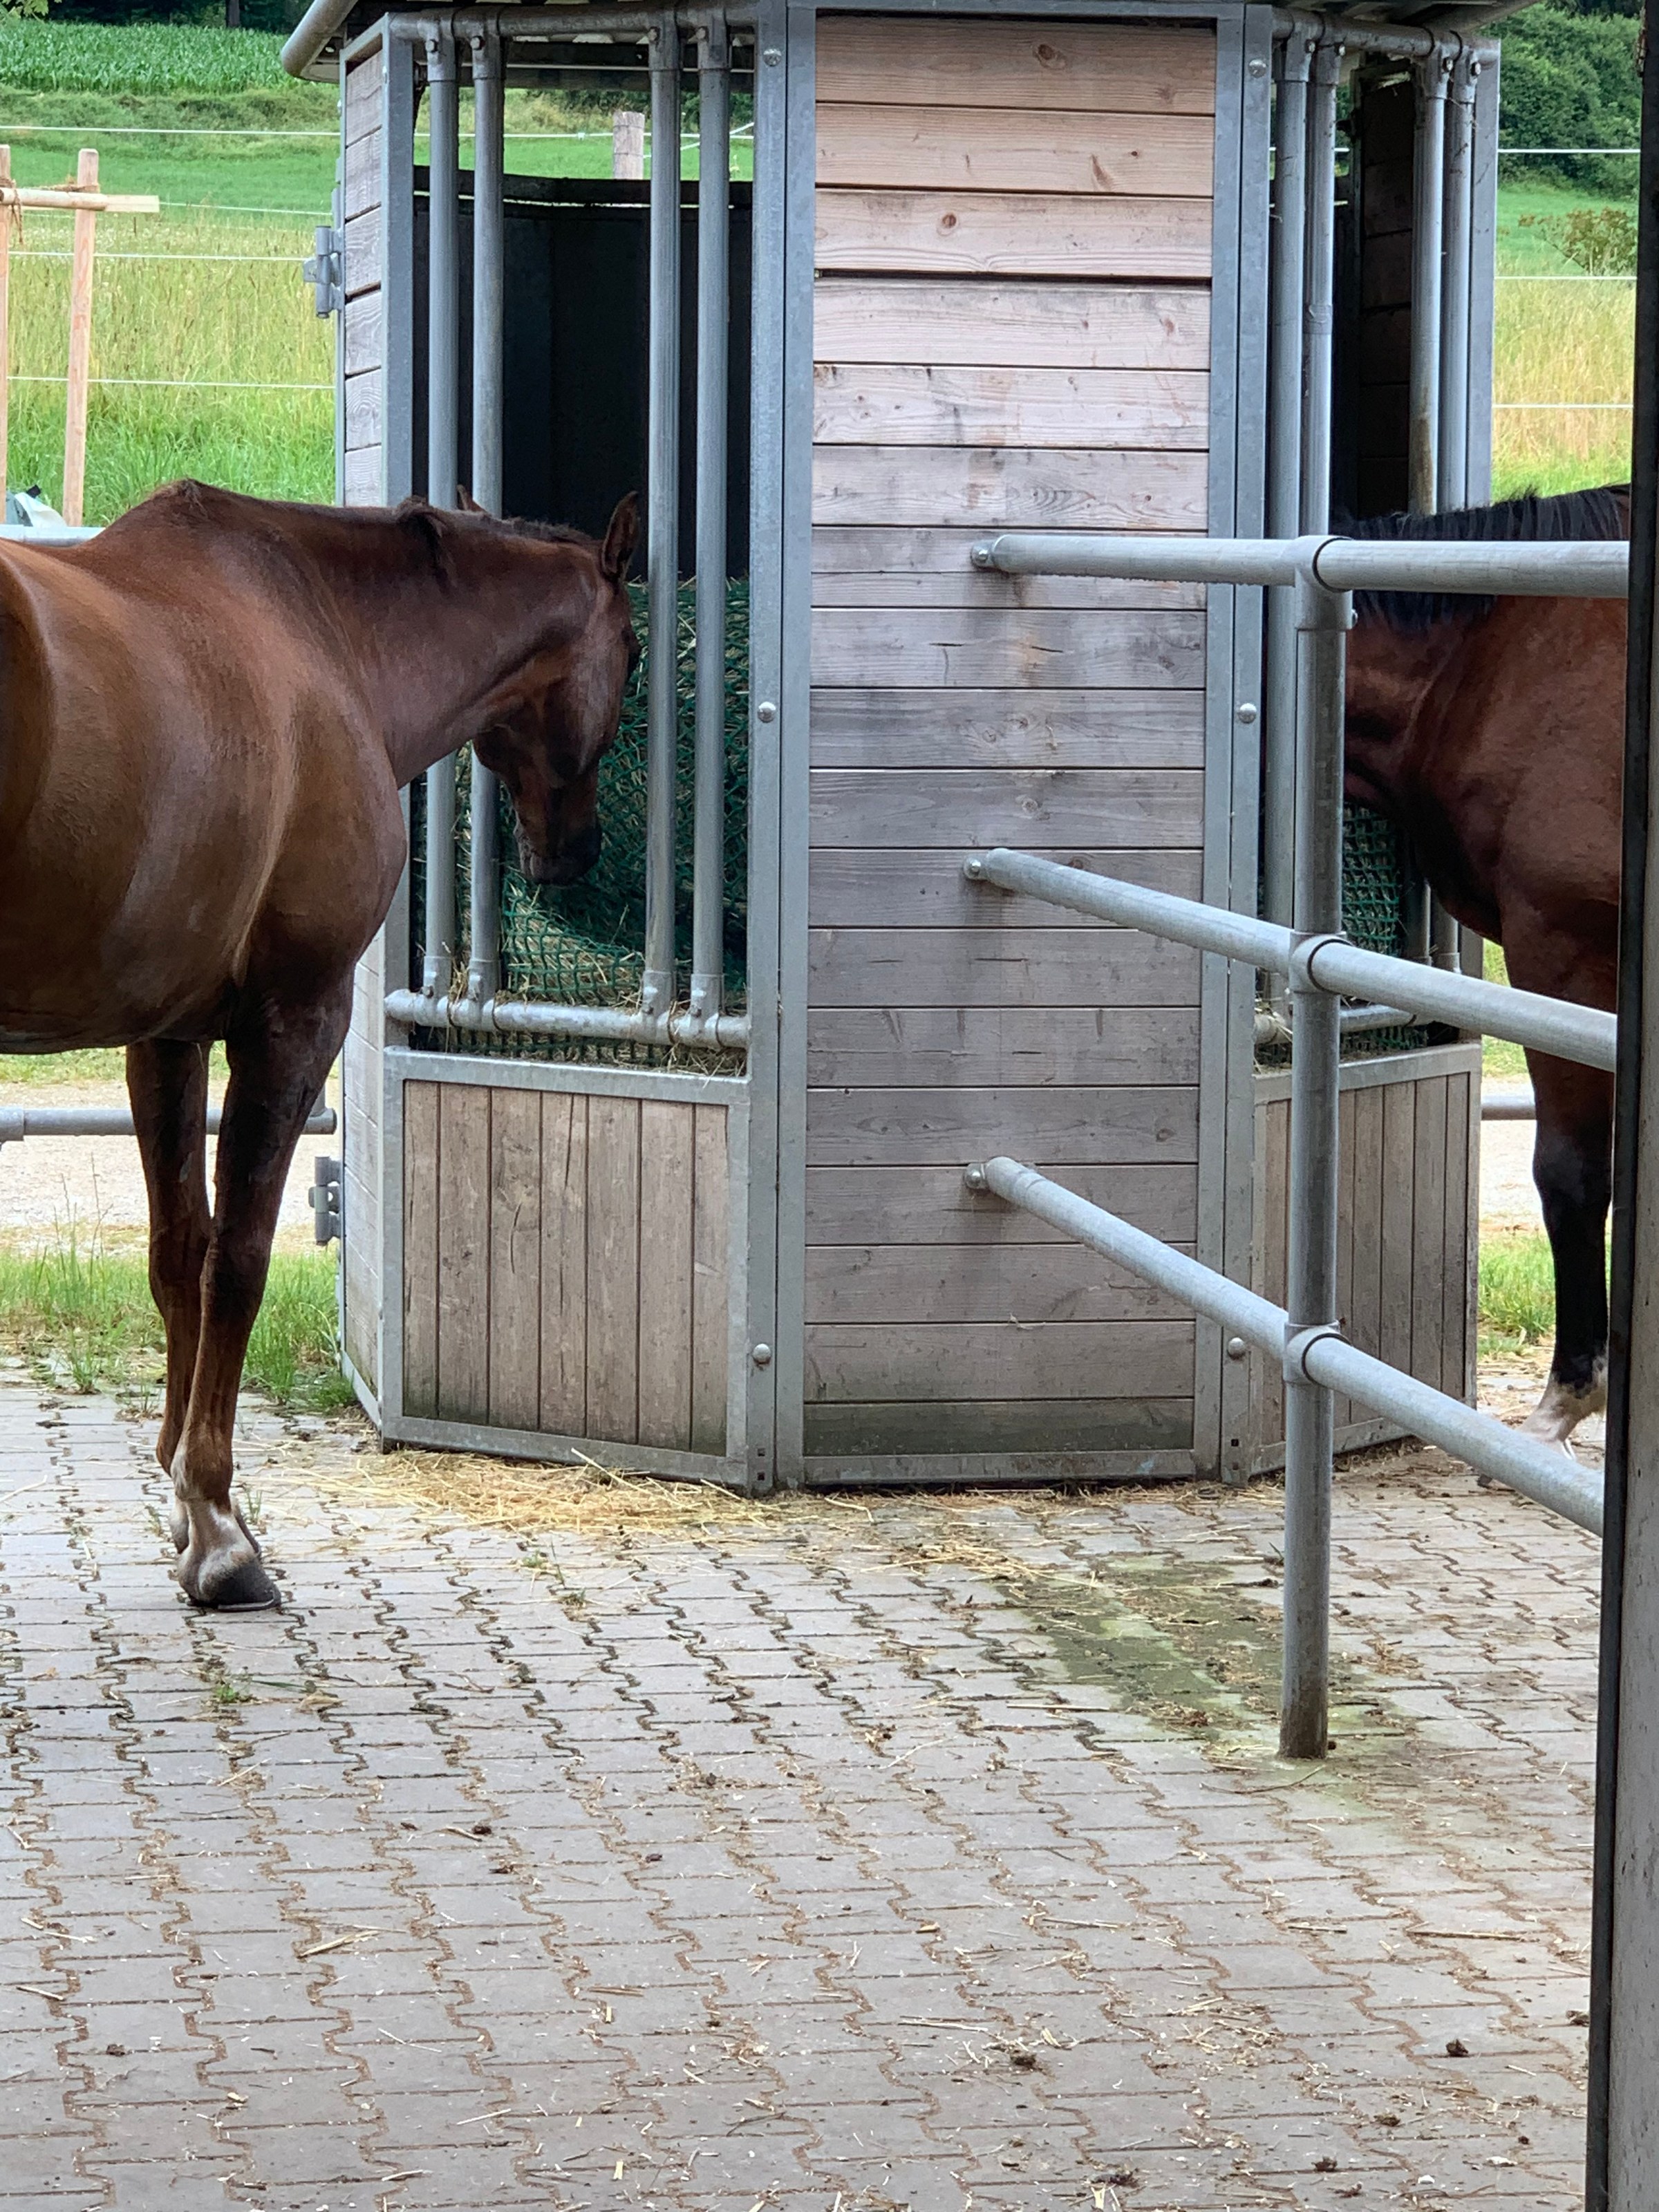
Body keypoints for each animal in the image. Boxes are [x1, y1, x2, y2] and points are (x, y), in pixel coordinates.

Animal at [0, 479, 640, 1607]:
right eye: (635, 651)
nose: (576, 852)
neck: (325, 636)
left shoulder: (166, 1037)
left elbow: (179, 1251)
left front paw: (182, 1502)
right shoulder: (296, 1022)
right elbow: (240, 1258)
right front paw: (219, 1531)